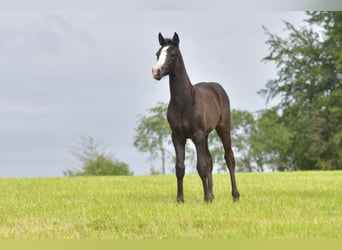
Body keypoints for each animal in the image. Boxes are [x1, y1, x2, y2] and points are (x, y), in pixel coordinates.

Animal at [151, 32, 239, 202]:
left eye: (172, 54)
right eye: (157, 54)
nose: (156, 71)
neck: (184, 102)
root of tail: (218, 88)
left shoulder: (197, 135)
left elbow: (201, 166)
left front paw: (206, 199)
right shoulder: (177, 136)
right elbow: (180, 168)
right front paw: (180, 199)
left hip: (223, 128)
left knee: (229, 157)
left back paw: (235, 195)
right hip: (206, 135)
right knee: (210, 160)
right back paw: (212, 194)